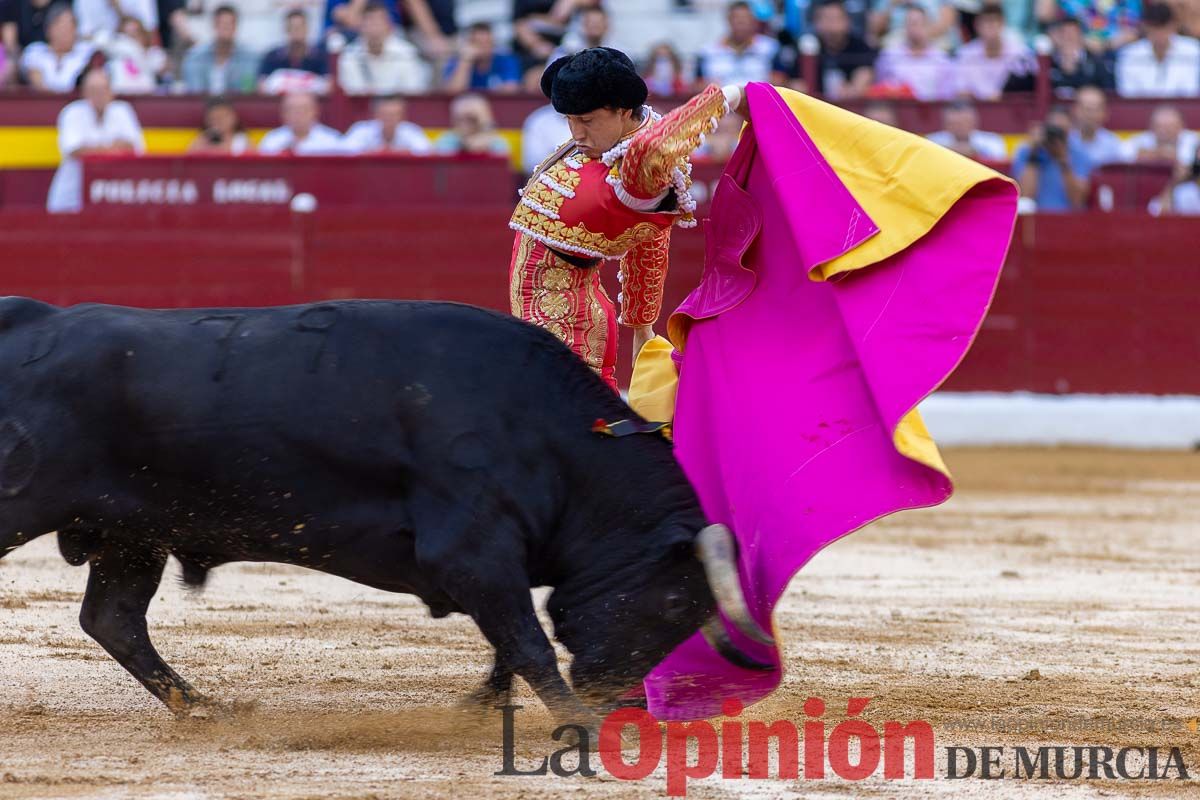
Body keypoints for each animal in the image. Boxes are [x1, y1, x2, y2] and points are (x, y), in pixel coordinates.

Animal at [0, 297, 768, 724]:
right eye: (675, 602)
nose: (625, 702)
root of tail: (29, 317)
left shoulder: (490, 562)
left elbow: (509, 641)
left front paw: (480, 707)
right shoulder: (473, 549)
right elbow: (527, 641)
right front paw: (573, 720)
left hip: (134, 534)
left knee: (114, 620)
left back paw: (209, 708)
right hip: (33, 508)